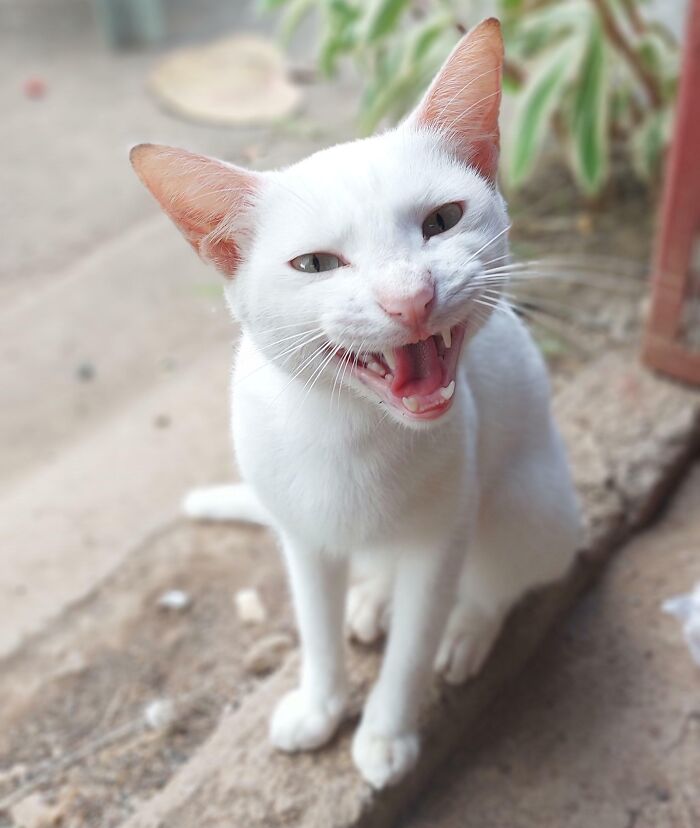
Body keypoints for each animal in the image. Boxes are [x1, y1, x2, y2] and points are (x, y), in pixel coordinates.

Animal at [130, 19, 580, 788]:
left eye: (442, 219)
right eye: (315, 264)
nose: (410, 297)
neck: (347, 428)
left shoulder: (442, 538)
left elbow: (414, 646)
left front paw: (386, 732)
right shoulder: (303, 538)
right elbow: (315, 626)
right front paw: (321, 704)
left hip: (533, 503)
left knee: (501, 578)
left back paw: (467, 630)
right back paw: (371, 599)